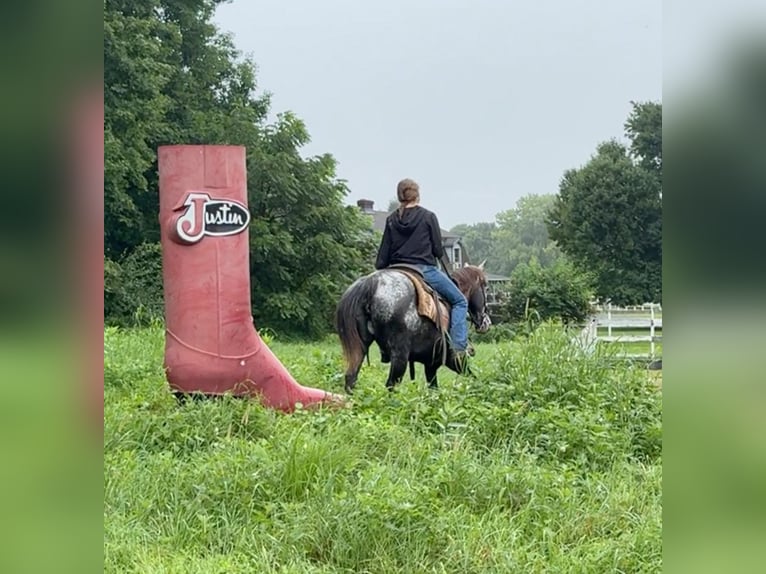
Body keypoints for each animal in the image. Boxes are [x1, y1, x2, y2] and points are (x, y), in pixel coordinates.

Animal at [334, 264, 492, 394]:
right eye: (486, 287)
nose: (486, 322)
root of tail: (370, 284)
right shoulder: (452, 360)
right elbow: (472, 376)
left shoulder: (430, 365)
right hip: (400, 357)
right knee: (390, 385)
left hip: (360, 349)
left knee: (351, 379)